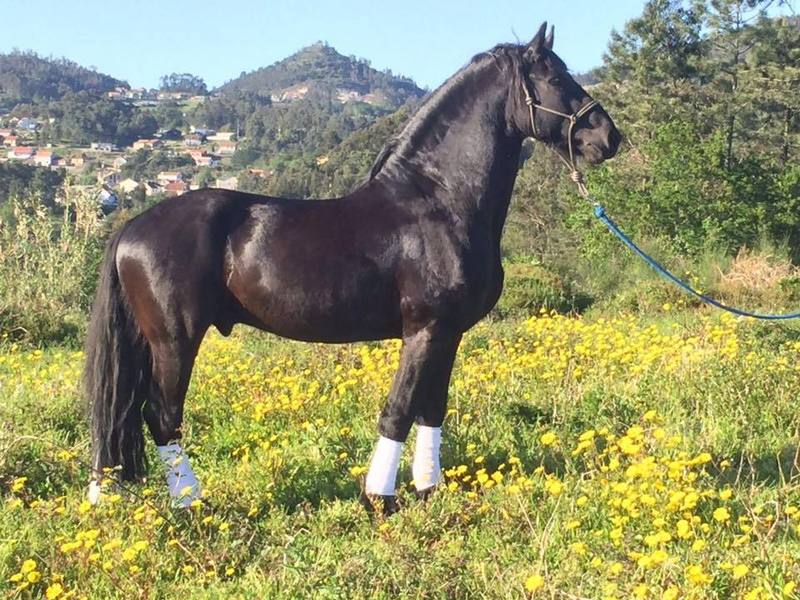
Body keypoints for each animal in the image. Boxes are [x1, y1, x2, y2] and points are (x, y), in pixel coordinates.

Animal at [84, 22, 621, 513]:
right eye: (554, 76)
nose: (607, 136)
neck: (438, 200)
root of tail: (132, 227)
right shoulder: (424, 329)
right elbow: (399, 410)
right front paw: (380, 497)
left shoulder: (448, 333)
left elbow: (432, 409)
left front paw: (429, 489)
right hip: (174, 340)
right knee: (162, 416)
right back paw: (191, 504)